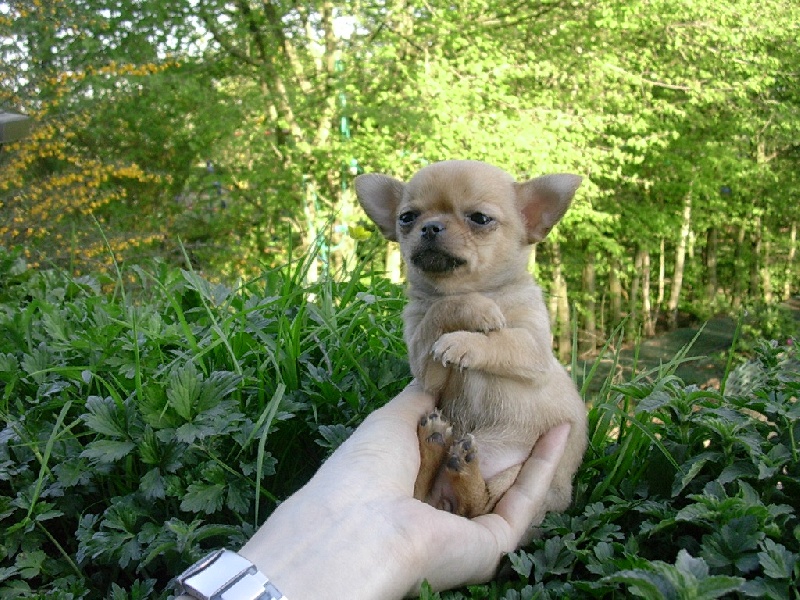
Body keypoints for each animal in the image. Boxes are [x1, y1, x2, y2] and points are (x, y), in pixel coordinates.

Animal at [356, 161, 588, 524]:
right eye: (407, 217)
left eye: (479, 218)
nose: (430, 227)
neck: (473, 287)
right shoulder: (426, 367)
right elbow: (442, 308)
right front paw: (474, 308)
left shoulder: (532, 348)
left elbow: (500, 340)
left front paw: (466, 340)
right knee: (433, 493)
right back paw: (435, 443)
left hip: (512, 477)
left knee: (478, 505)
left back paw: (462, 468)